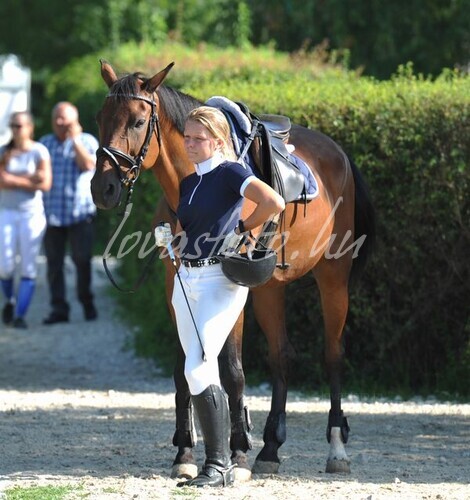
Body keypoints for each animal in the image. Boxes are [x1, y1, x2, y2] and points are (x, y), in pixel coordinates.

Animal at [91, 60, 375, 479]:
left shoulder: (231, 292)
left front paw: (237, 452)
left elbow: (232, 370)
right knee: (281, 356)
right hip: (271, 287)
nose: (104, 188)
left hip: (333, 278)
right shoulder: (175, 287)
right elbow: (184, 368)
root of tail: (338, 154)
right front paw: (185, 454)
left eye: (139, 121)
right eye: (100, 117)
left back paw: (336, 449)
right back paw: (270, 449)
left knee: (333, 354)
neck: (194, 184)